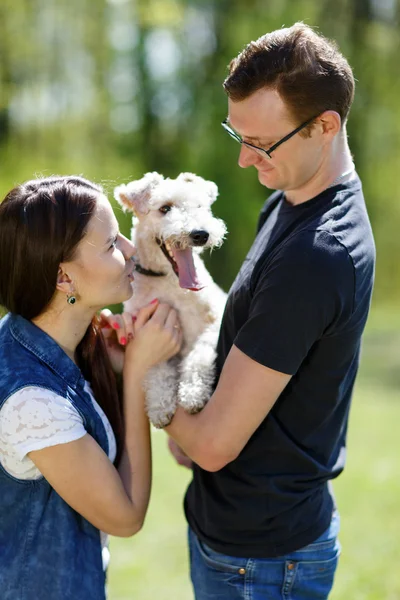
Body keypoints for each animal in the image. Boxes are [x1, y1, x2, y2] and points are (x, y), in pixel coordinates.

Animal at [114, 171, 227, 428]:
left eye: (200, 206)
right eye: (165, 208)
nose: (200, 234)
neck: (167, 281)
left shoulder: (213, 324)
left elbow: (199, 356)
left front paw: (193, 394)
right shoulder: (146, 332)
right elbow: (157, 368)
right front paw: (160, 407)